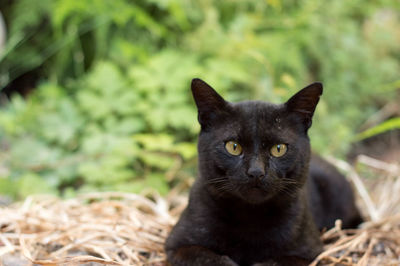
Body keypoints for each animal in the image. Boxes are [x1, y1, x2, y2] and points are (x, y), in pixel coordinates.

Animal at [166, 79, 362, 266]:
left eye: (279, 149)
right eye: (233, 147)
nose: (256, 171)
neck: (250, 216)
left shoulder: (309, 252)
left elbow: (276, 262)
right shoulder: (177, 245)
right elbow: (209, 258)